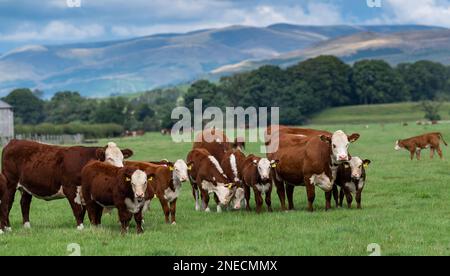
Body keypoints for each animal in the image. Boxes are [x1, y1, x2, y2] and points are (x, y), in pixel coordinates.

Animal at [0, 140, 134, 231]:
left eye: (122, 158)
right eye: (109, 158)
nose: (120, 170)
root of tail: (14, 141)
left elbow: (93, 211)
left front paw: (96, 227)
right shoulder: (70, 188)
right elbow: (78, 209)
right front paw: (80, 228)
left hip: (26, 188)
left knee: (24, 204)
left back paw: (27, 226)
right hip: (10, 184)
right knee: (6, 204)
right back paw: (7, 228)